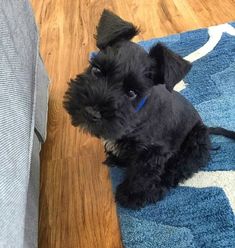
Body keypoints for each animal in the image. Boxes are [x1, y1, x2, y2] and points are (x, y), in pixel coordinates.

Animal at [63, 9, 235, 208]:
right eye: (96, 70)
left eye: (131, 92)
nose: (91, 113)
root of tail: (207, 129)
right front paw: (117, 158)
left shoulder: (153, 152)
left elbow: (142, 175)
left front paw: (131, 196)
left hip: (195, 141)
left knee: (183, 166)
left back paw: (161, 186)